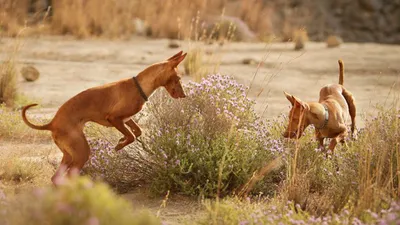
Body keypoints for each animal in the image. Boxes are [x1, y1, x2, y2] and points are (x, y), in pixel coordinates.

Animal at [22, 50, 188, 183]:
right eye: (179, 78)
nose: (184, 95)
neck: (139, 85)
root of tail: (52, 123)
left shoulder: (126, 119)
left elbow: (137, 132)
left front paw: (122, 140)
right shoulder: (114, 118)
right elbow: (131, 136)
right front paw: (120, 145)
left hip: (69, 155)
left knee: (56, 178)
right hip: (82, 152)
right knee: (69, 176)